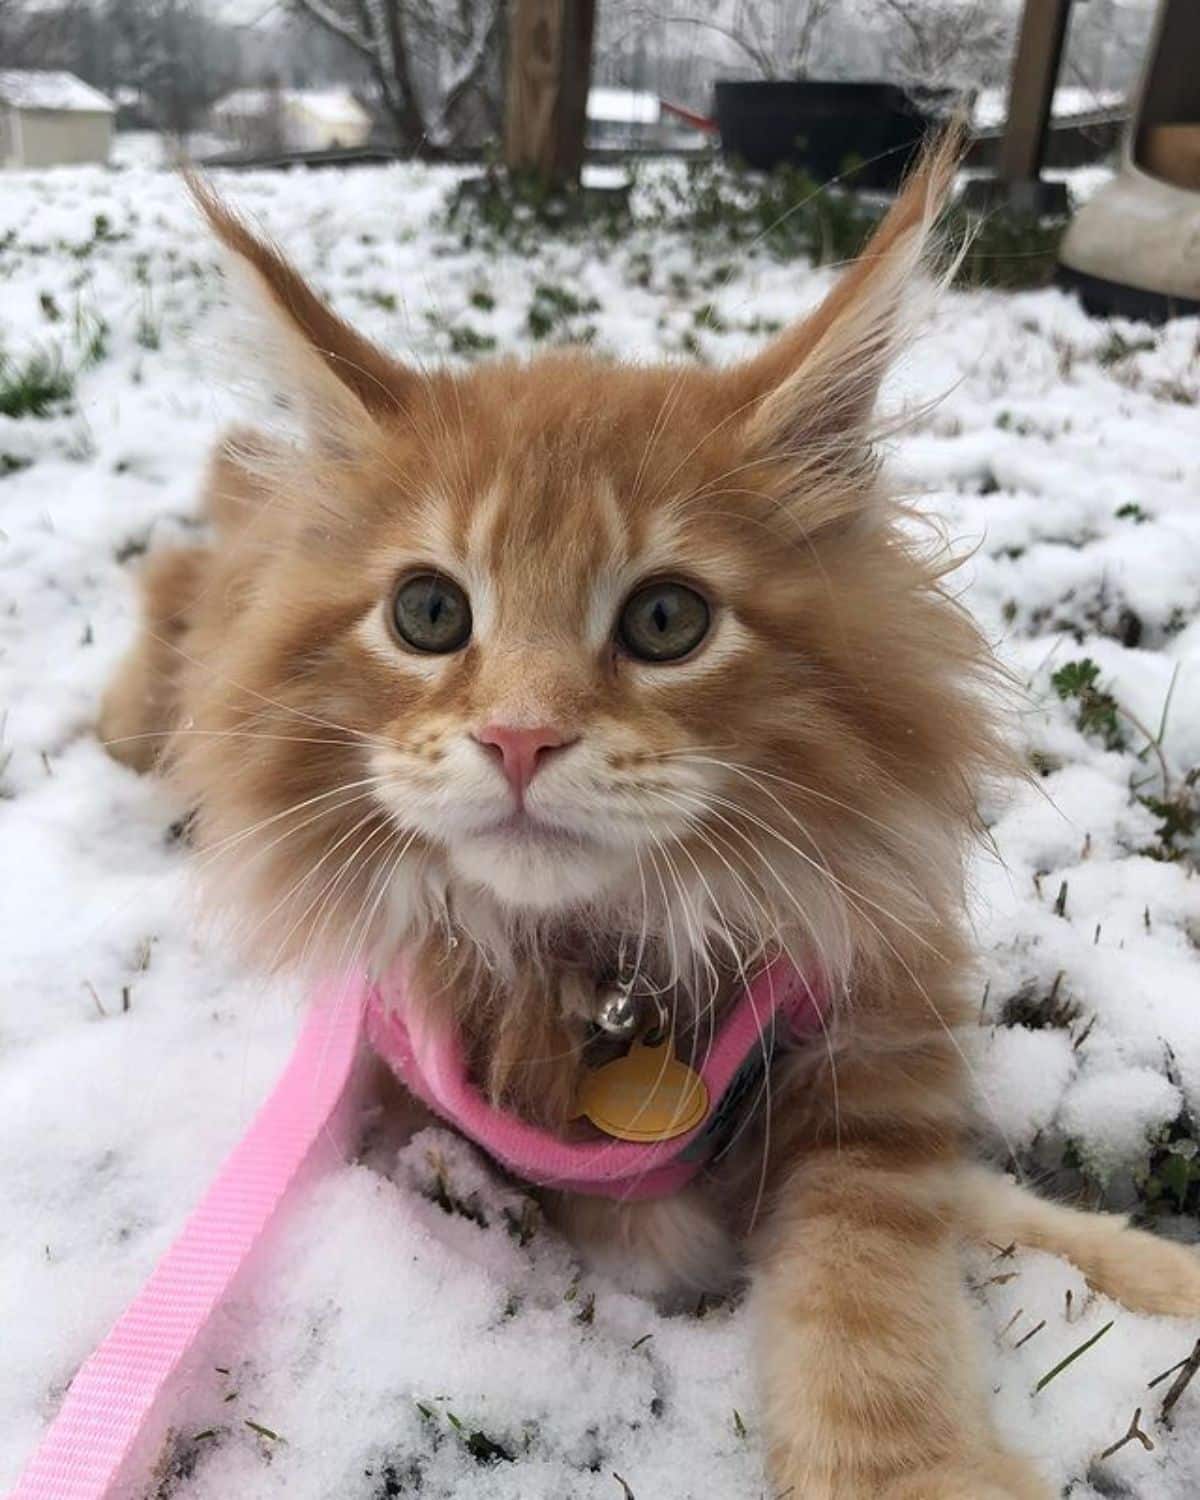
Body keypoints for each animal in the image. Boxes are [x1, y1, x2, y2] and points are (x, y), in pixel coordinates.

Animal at [100, 135, 1200, 1494]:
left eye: (667, 621)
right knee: (163, 584)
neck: (616, 969)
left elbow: (886, 1266)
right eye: (429, 613)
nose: (520, 737)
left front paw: (1141, 1282)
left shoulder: (861, 1035)